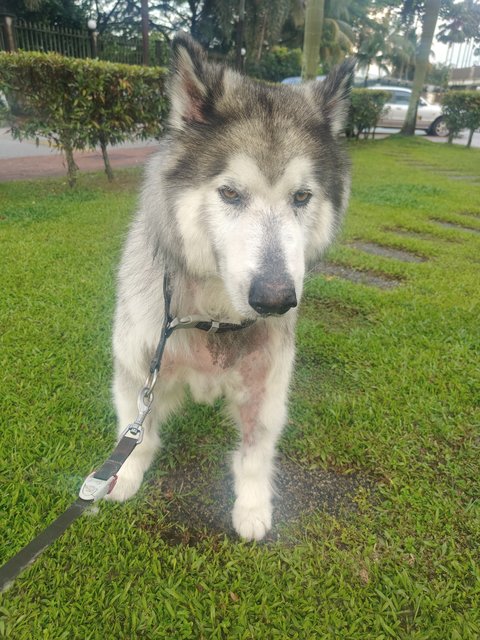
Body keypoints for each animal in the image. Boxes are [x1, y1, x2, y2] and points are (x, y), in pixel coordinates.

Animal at [109, 33, 354, 540]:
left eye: (302, 196)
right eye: (229, 193)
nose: (276, 300)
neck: (214, 317)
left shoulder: (267, 382)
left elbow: (256, 452)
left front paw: (253, 506)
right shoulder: (139, 363)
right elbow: (135, 431)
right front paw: (125, 476)